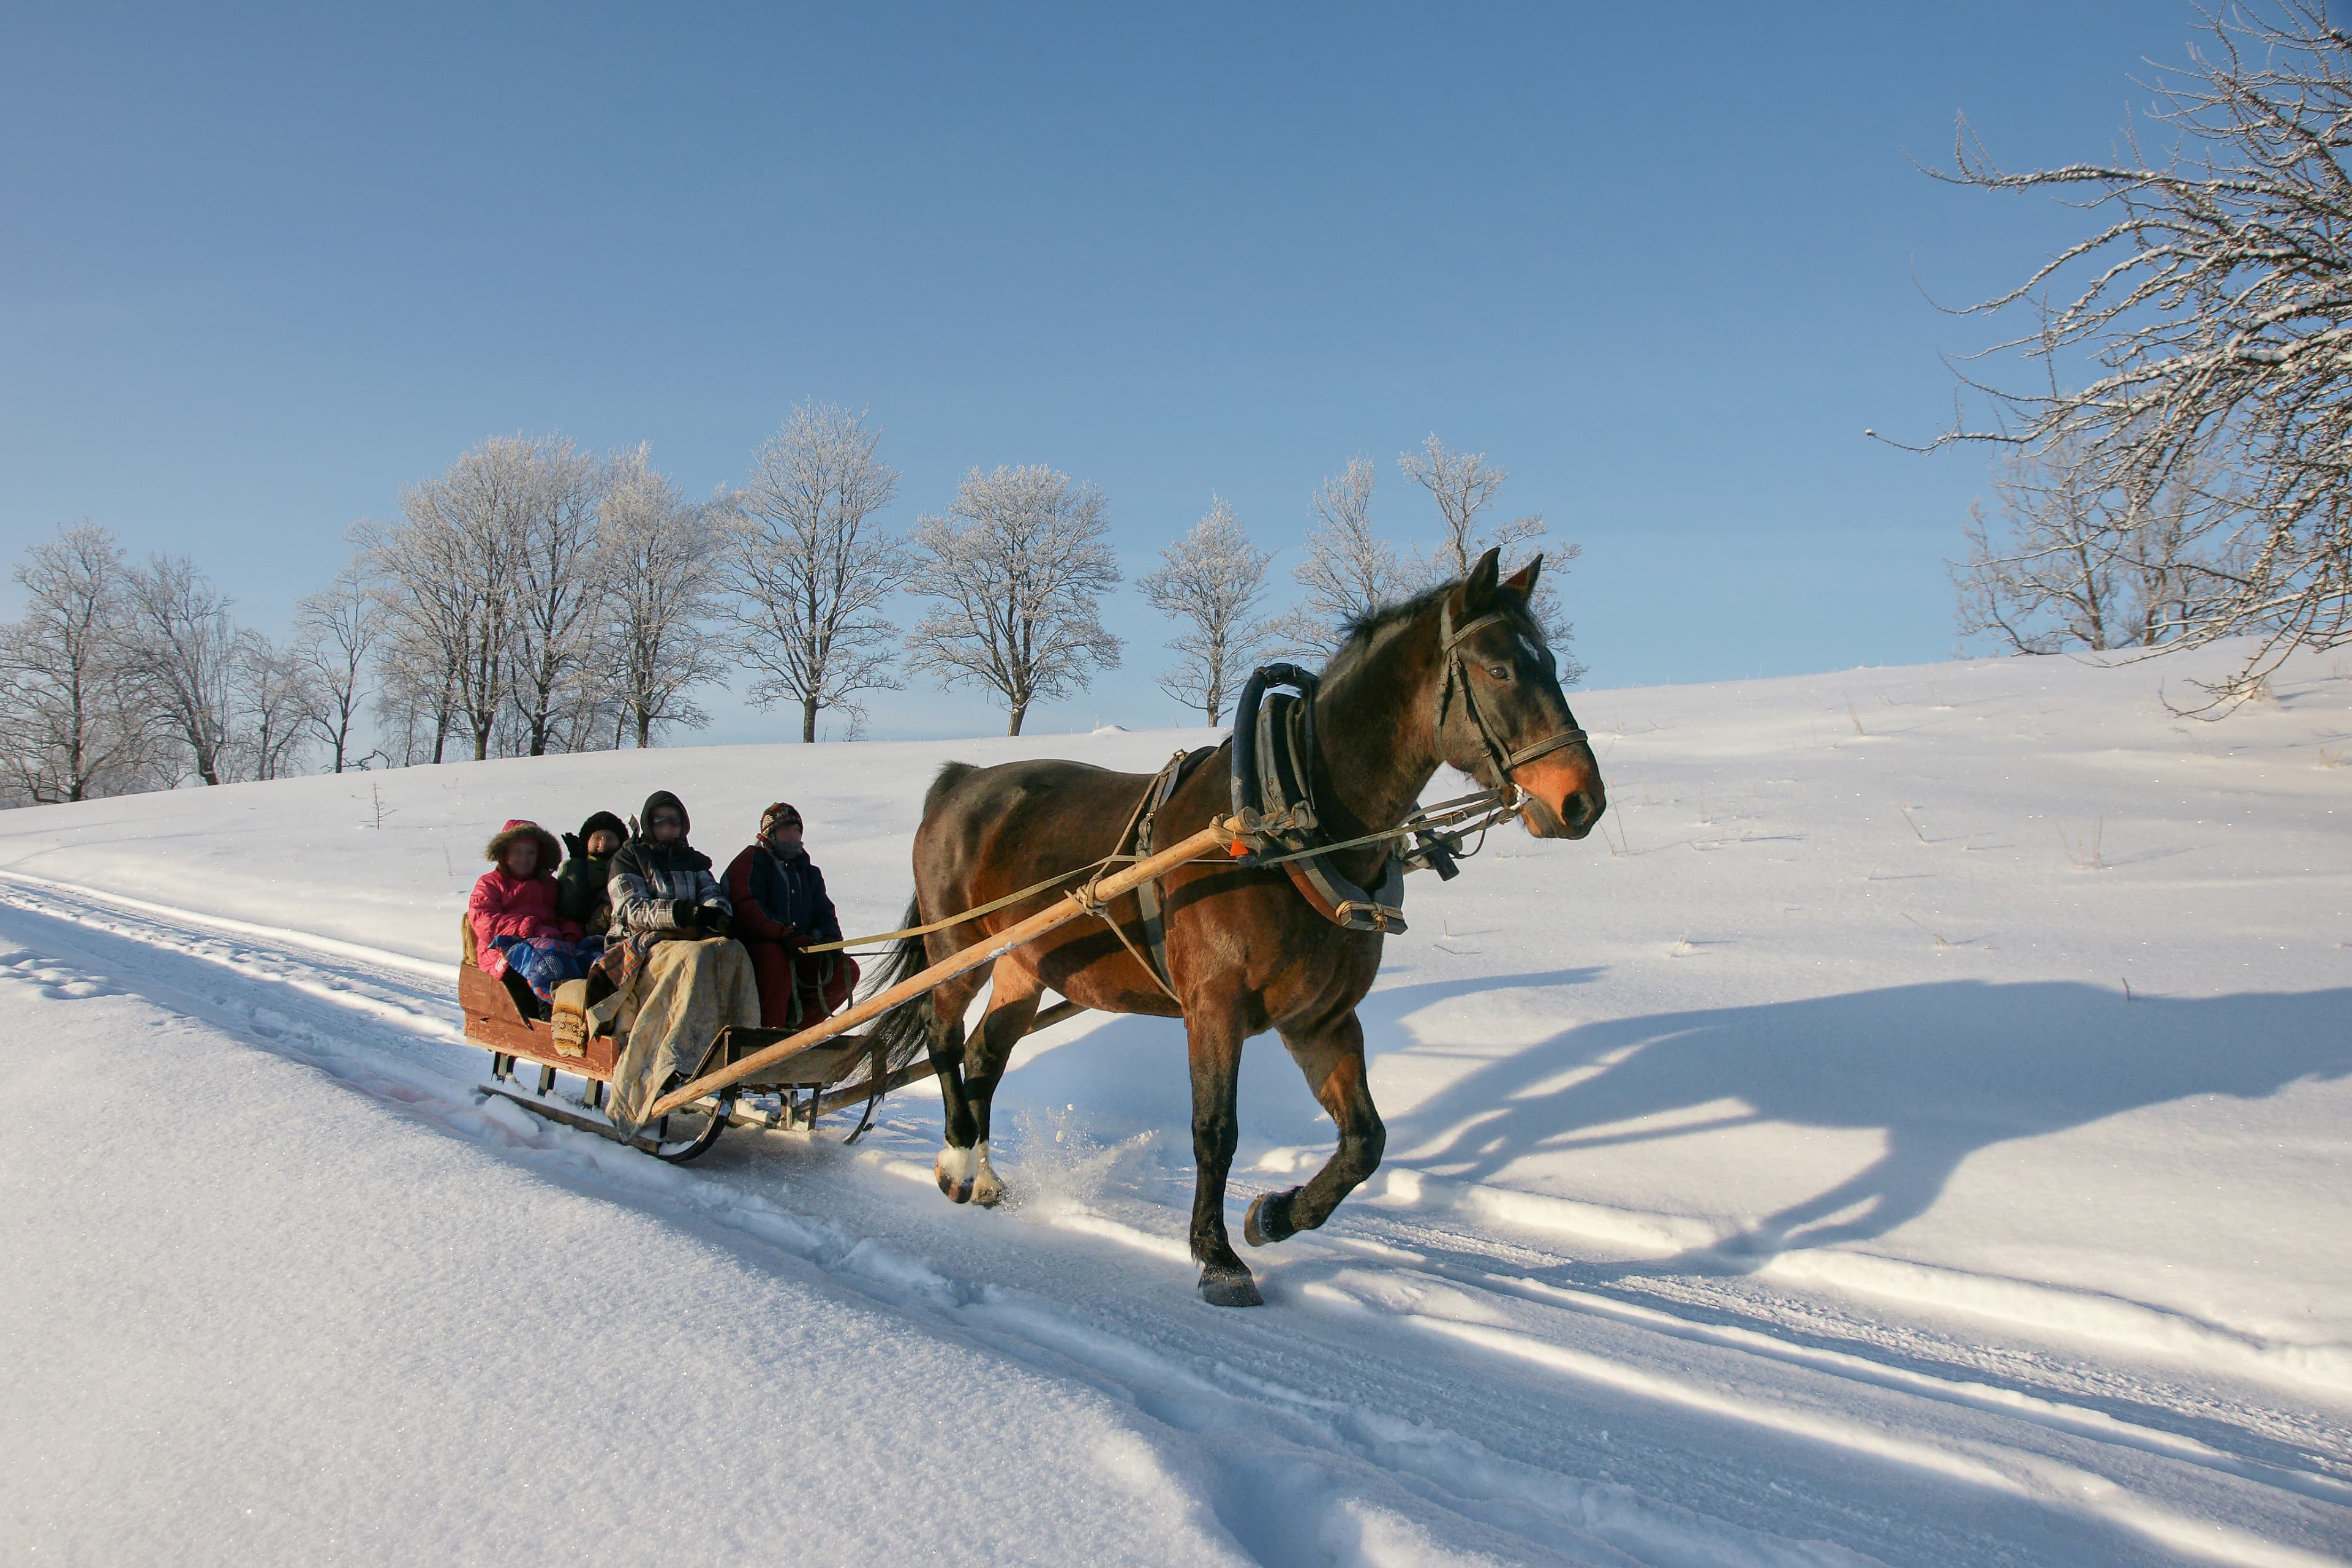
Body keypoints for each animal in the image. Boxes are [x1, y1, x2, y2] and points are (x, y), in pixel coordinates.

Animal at [865, 547, 1606, 1305]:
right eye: (1500, 670)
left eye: (1551, 661)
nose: (1582, 800)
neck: (1289, 825)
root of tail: (962, 779)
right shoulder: (1214, 1008)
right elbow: (1215, 1130)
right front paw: (1217, 1256)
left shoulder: (1320, 1018)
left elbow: (1365, 1140)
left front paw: (1275, 1215)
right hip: (959, 947)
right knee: (943, 1037)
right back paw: (959, 1160)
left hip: (1027, 961)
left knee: (986, 1052)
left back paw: (982, 1175)